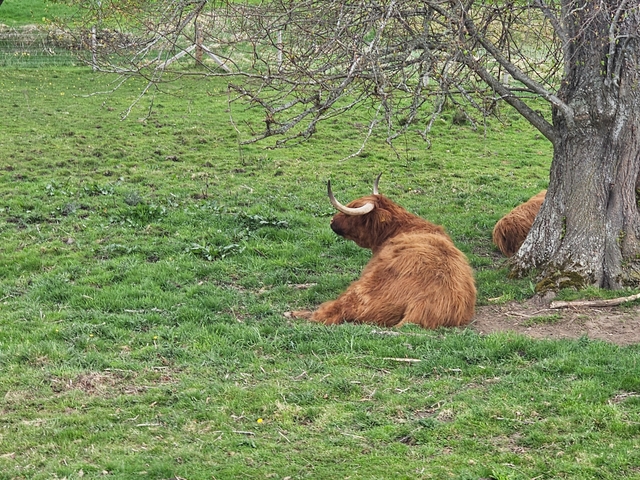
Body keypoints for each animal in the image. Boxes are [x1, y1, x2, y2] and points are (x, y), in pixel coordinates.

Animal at [291, 175, 476, 329]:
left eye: (351, 212)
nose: (332, 221)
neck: (403, 228)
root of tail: (423, 306)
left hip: (360, 292)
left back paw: (294, 313)